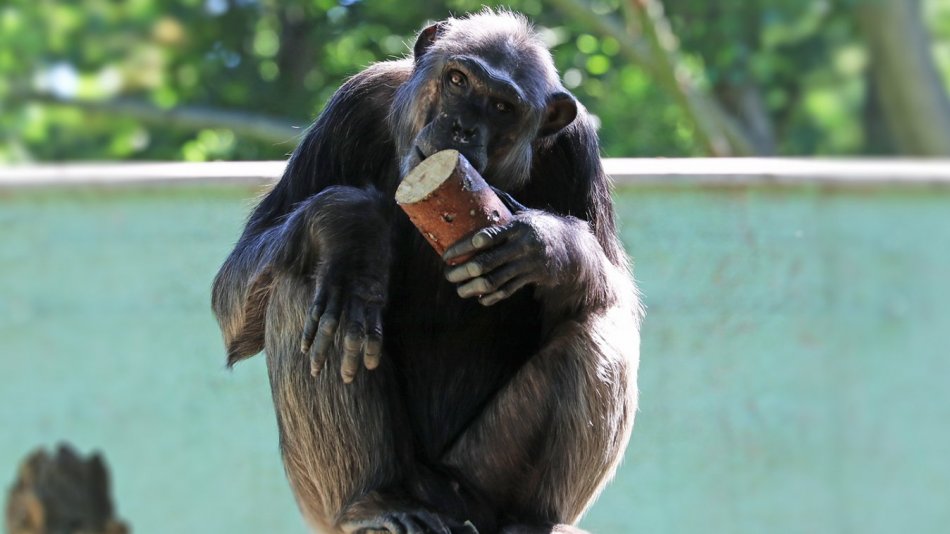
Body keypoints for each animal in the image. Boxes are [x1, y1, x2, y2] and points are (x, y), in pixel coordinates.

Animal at [212, 8, 644, 534]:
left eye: (501, 107)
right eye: (458, 80)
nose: (461, 127)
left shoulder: (577, 150)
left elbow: (614, 294)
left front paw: (544, 245)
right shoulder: (352, 104)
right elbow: (235, 290)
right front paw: (352, 227)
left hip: (478, 479)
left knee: (595, 329)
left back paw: (534, 519)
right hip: (329, 503)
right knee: (308, 288)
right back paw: (375, 500)